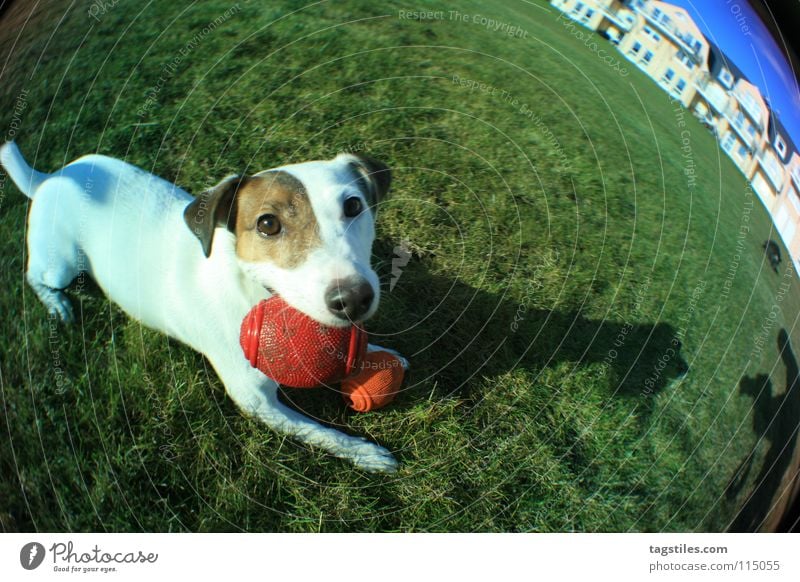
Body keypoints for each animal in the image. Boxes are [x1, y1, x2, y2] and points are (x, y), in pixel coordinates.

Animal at [1, 141, 406, 474]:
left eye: (353, 205)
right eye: (267, 224)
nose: (353, 298)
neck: (250, 289)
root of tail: (49, 178)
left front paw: (379, 352)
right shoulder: (256, 403)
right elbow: (320, 433)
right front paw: (364, 453)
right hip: (61, 264)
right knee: (34, 275)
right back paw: (57, 304)